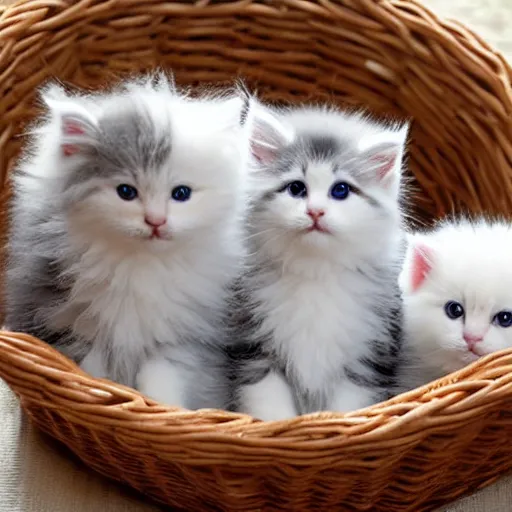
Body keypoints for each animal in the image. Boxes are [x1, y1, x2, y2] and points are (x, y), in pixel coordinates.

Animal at [4, 74, 252, 410]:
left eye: (181, 194)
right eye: (126, 192)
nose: (155, 221)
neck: (138, 264)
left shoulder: (177, 338)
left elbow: (162, 384)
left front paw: (161, 411)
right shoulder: (75, 329)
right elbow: (94, 378)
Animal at [230, 103, 410, 420]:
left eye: (341, 190)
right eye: (296, 188)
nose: (315, 212)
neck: (314, 271)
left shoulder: (362, 361)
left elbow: (347, 408)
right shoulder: (256, 351)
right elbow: (271, 409)